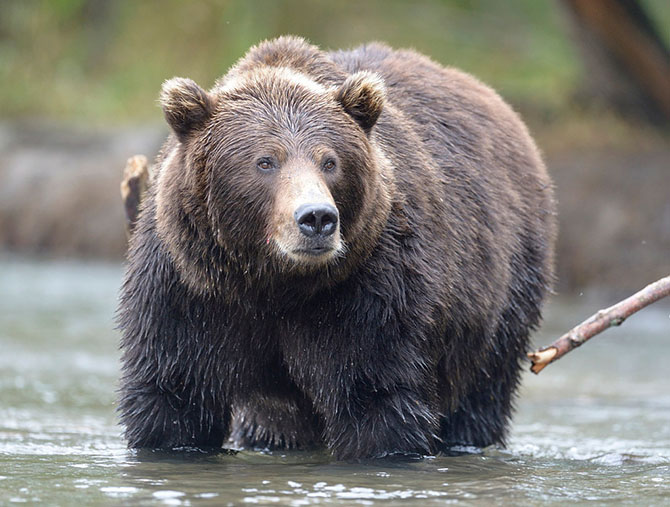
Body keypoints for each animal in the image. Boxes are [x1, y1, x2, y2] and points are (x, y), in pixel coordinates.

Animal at [118, 35, 560, 460]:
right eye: (265, 161)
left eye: (330, 161)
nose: (316, 218)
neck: (271, 284)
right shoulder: (190, 288)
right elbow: (176, 393)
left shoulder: (368, 288)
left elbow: (375, 393)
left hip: (500, 293)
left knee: (481, 390)